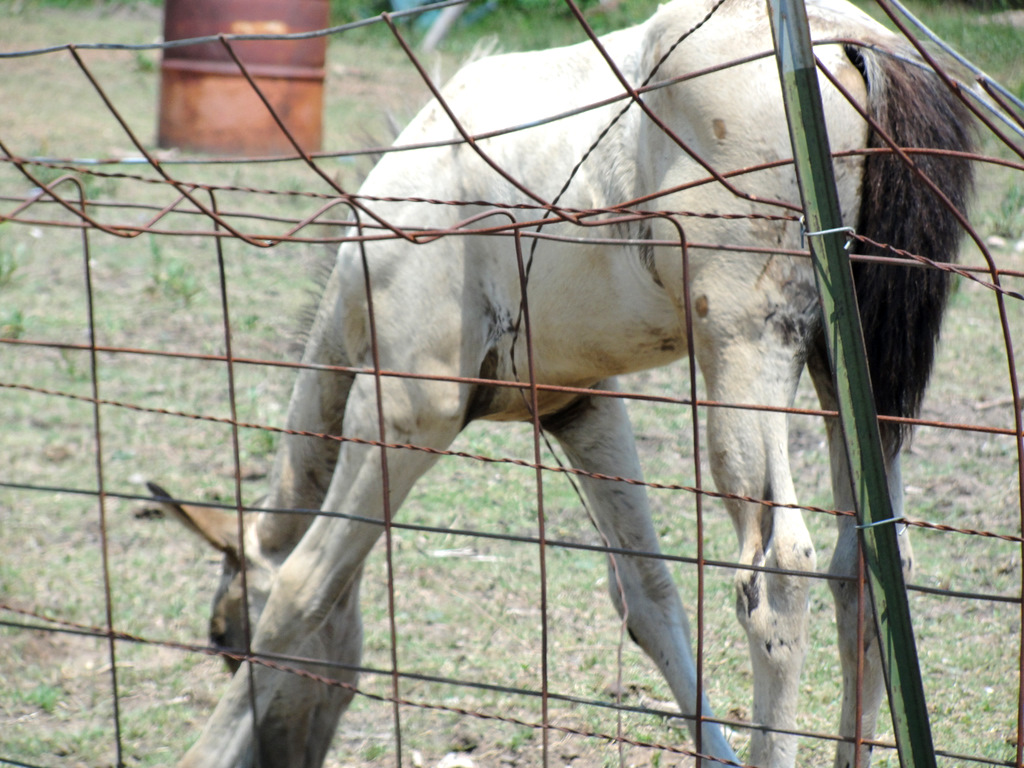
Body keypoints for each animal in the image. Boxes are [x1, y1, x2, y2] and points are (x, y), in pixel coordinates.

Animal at [149, 0, 973, 765]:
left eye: (225, 640)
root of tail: (852, 40)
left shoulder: (406, 411)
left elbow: (301, 589)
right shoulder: (584, 408)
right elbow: (647, 598)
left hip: (745, 350)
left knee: (779, 572)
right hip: (848, 374)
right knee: (868, 568)